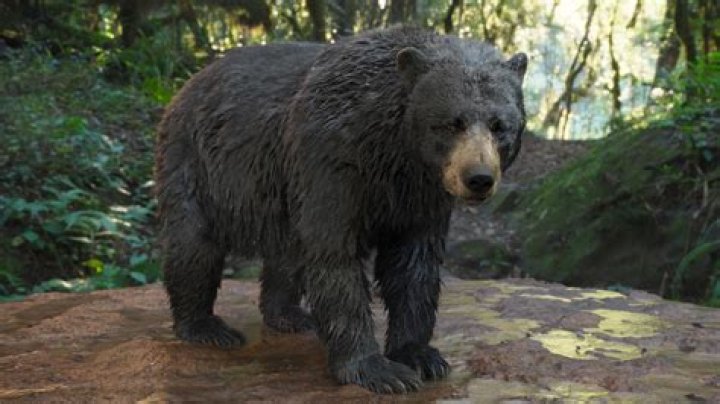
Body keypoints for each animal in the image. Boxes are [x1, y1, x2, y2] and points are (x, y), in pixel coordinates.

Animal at [155, 26, 527, 394]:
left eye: (500, 125)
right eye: (451, 123)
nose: (478, 178)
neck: (395, 152)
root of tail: (186, 86)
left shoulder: (421, 194)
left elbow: (414, 264)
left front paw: (419, 355)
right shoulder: (332, 158)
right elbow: (334, 254)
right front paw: (376, 369)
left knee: (287, 252)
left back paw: (290, 314)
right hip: (196, 162)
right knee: (194, 245)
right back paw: (205, 326)